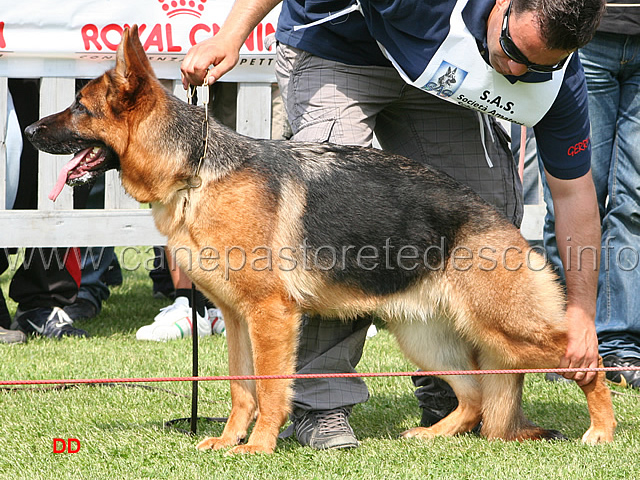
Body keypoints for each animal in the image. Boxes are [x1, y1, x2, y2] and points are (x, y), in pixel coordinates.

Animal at [25, 27, 616, 454]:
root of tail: (499, 220)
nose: (29, 131)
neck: (194, 173)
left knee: (586, 363)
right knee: (472, 396)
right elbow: (241, 387)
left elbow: (270, 387)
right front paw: (228, 441)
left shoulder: (271, 315)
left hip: (508, 330)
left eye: (79, 107)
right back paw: (434, 435)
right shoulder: (236, 318)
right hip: (427, 338)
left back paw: (603, 431)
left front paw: (258, 448)